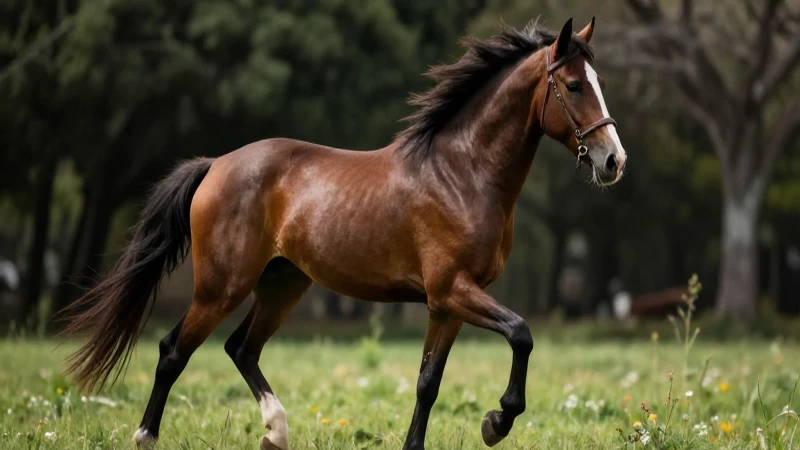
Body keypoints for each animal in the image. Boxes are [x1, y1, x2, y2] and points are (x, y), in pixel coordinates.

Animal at [61, 17, 626, 450]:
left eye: (599, 81)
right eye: (573, 85)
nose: (614, 161)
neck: (462, 173)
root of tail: (216, 165)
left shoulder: (446, 305)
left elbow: (428, 383)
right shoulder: (454, 291)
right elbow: (521, 333)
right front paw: (496, 421)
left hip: (283, 284)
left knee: (241, 349)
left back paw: (276, 432)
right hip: (222, 287)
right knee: (174, 351)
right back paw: (148, 436)